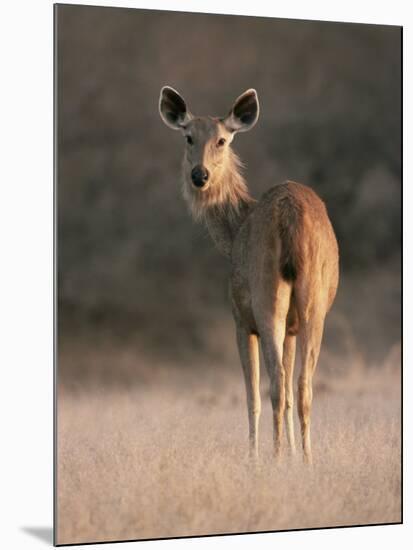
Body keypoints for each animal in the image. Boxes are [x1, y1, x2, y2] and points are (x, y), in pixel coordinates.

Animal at [158, 87, 338, 466]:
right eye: (188, 137)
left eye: (222, 140)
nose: (199, 175)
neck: (234, 229)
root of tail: (290, 215)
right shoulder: (292, 327)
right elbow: (290, 390)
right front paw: (294, 455)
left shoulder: (240, 319)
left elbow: (251, 395)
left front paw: (254, 457)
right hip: (313, 302)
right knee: (302, 385)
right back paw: (307, 459)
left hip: (265, 295)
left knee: (276, 384)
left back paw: (275, 457)